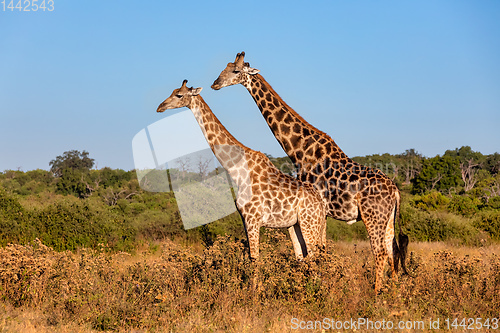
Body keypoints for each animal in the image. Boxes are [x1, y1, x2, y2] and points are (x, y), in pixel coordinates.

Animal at [158, 80, 326, 260]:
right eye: (172, 91)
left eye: (179, 95)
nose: (160, 107)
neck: (237, 171)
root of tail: (322, 205)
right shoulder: (245, 219)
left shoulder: (253, 219)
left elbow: (254, 258)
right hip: (295, 225)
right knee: (302, 256)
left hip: (309, 223)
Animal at [211, 52, 410, 294]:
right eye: (224, 67)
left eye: (236, 71)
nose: (215, 83)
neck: (299, 150)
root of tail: (396, 191)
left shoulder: (317, 209)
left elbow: (315, 250)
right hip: (388, 219)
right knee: (393, 251)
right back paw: (394, 291)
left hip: (373, 217)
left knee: (380, 252)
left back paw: (375, 293)